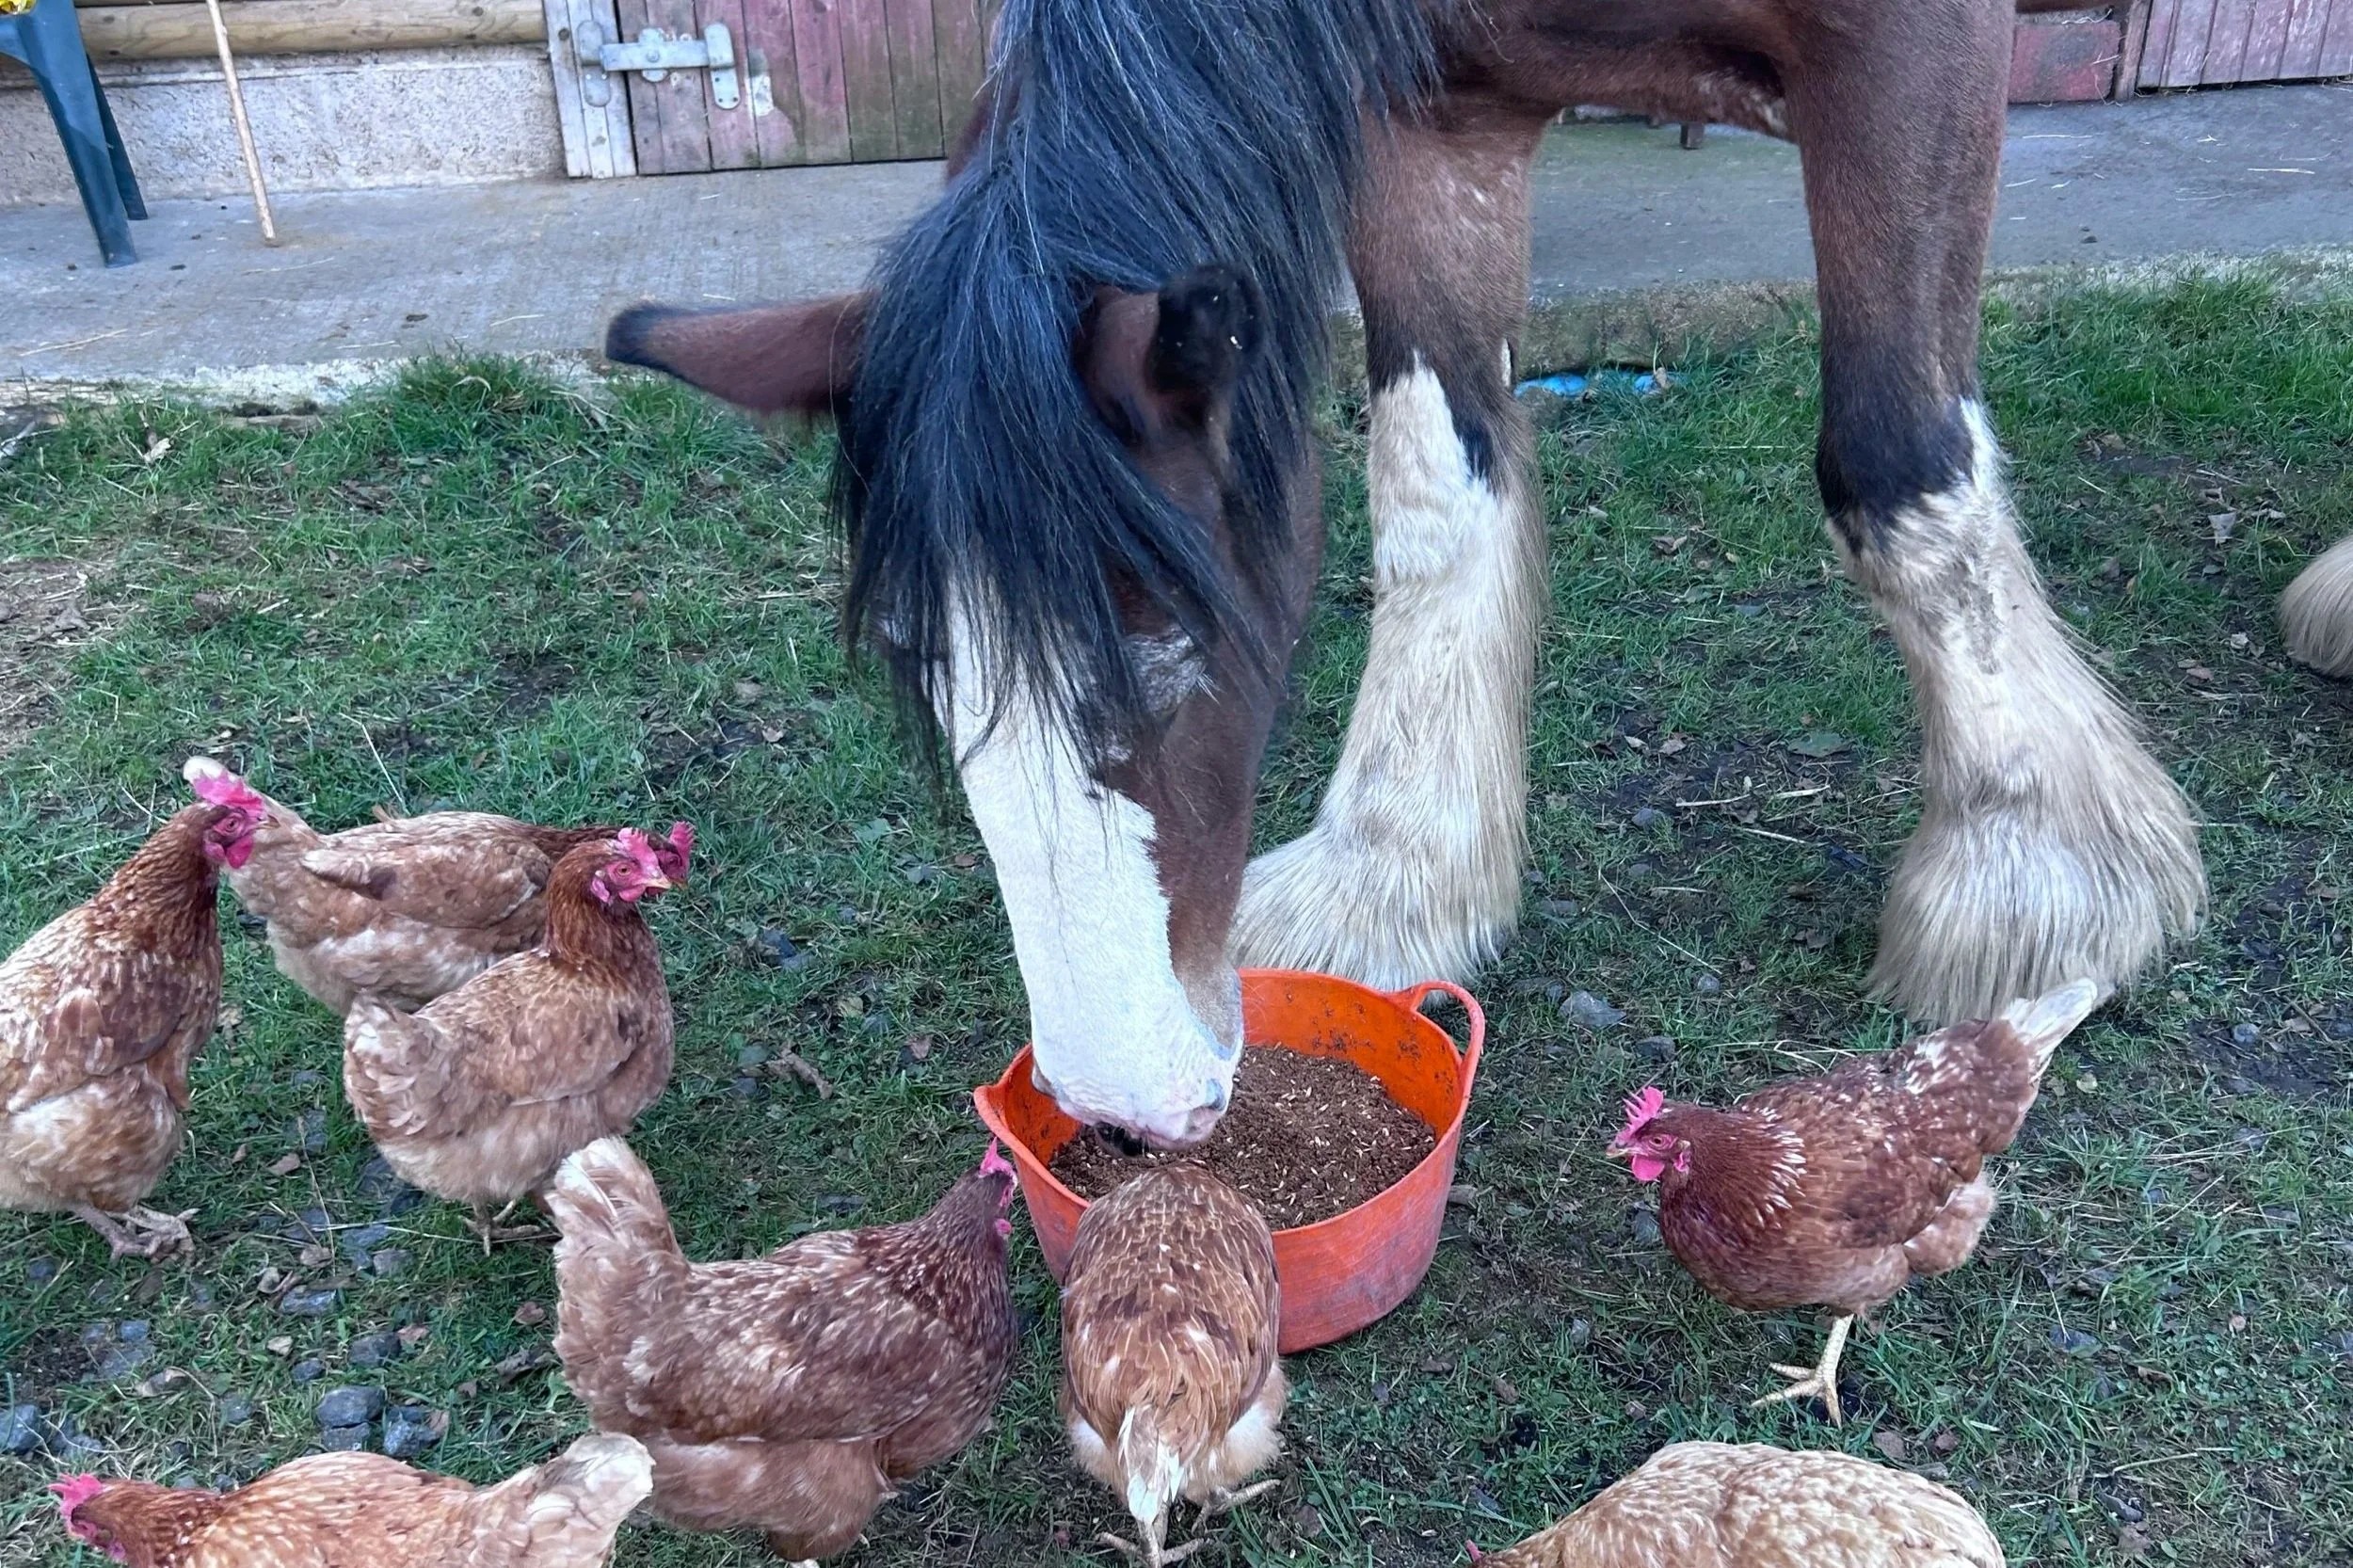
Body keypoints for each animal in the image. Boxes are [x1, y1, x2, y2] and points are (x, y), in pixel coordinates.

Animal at [608, 0, 2206, 1148]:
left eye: (1167, 641)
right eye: (922, 663)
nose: (1126, 1109)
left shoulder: (1911, 51)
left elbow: (1893, 460)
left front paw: (2034, 869)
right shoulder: (1439, 105)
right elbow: (1438, 475)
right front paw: (1397, 867)